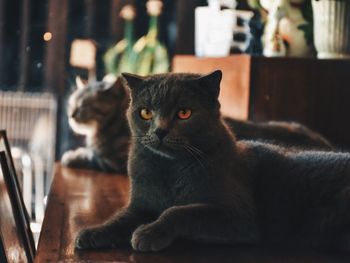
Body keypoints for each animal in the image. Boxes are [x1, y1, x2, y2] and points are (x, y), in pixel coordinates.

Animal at [75, 70, 350, 254]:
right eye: (145, 113)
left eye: (184, 113)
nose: (160, 131)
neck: (168, 169)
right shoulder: (140, 205)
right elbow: (119, 217)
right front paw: (92, 233)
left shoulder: (239, 217)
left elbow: (179, 211)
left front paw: (147, 233)